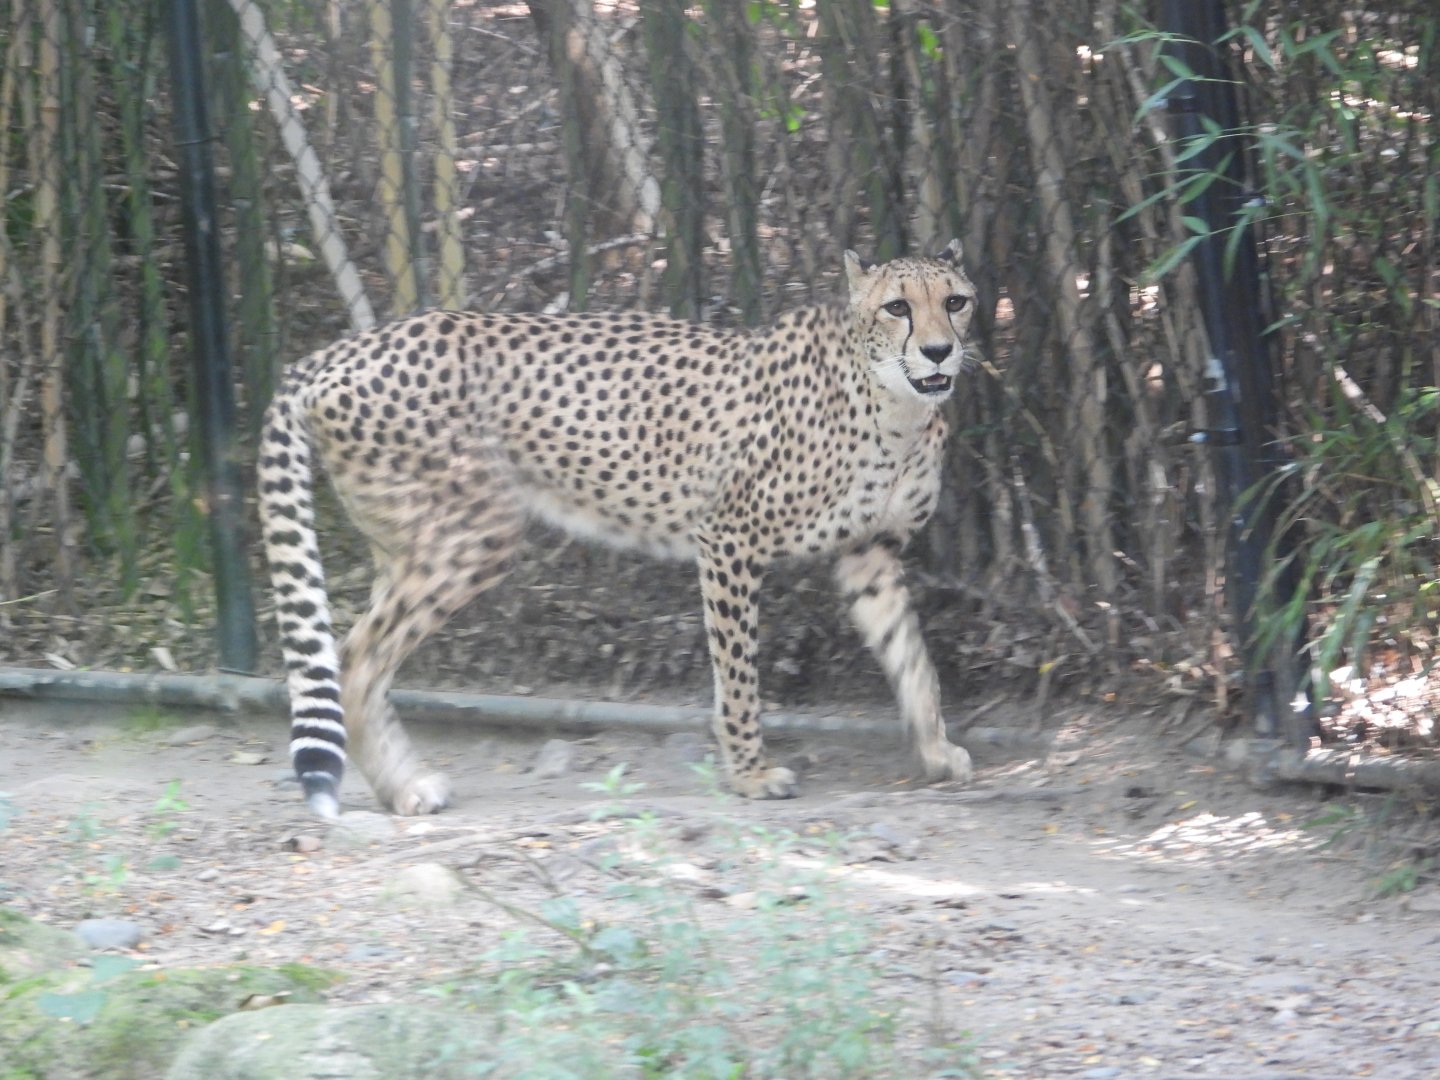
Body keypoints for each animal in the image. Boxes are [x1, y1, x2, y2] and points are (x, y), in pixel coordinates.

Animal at [257, 241, 979, 819]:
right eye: (897, 308)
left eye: (956, 301)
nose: (939, 350)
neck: (895, 407)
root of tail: (338, 352)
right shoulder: (728, 538)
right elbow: (738, 675)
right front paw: (749, 773)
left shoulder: (870, 554)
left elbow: (913, 660)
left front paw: (937, 748)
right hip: (471, 535)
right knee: (356, 658)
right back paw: (403, 787)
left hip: (406, 541)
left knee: (364, 656)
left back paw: (399, 786)